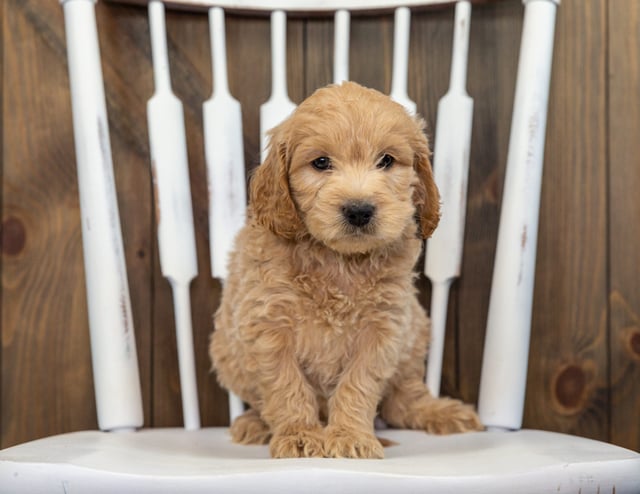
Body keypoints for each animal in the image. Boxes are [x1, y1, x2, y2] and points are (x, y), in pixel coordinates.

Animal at [210, 82, 480, 460]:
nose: (359, 210)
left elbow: (359, 384)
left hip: (415, 334)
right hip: (225, 350)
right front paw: (299, 434)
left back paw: (440, 411)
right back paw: (255, 424)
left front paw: (351, 436)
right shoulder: (268, 326)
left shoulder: (383, 329)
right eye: (321, 162)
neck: (339, 262)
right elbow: (286, 386)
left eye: (386, 160)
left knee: (403, 400)